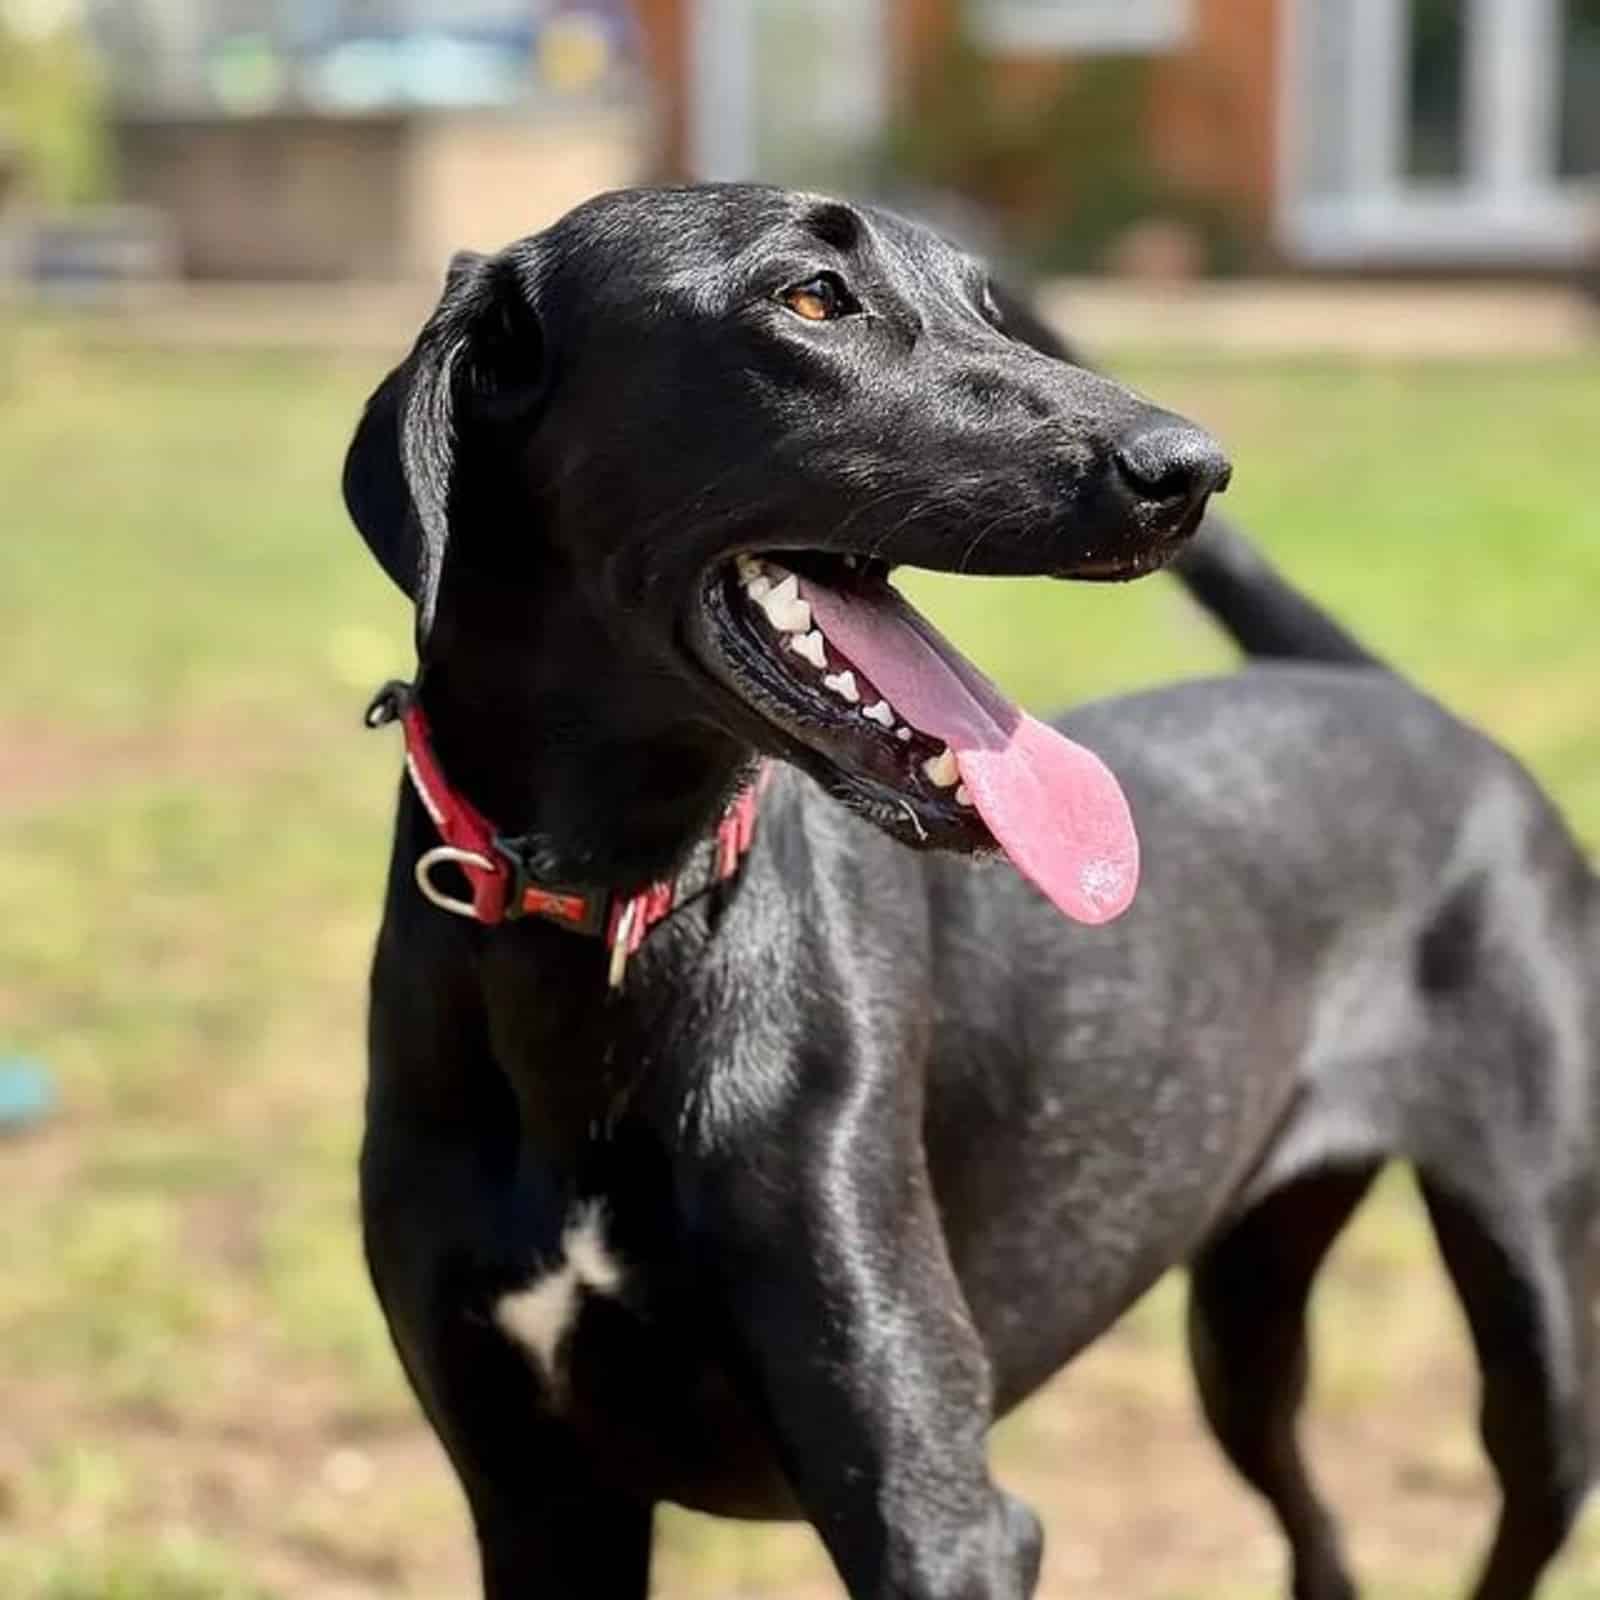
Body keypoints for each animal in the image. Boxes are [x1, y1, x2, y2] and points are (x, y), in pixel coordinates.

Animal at [344, 181, 1593, 1593]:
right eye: (810, 296)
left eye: (986, 306)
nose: (1190, 469)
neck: (607, 907)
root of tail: (1406, 703)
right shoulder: (537, 1496)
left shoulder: (938, 1508)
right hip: (1241, 1324)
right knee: (1314, 1525)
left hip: (1534, 1334)